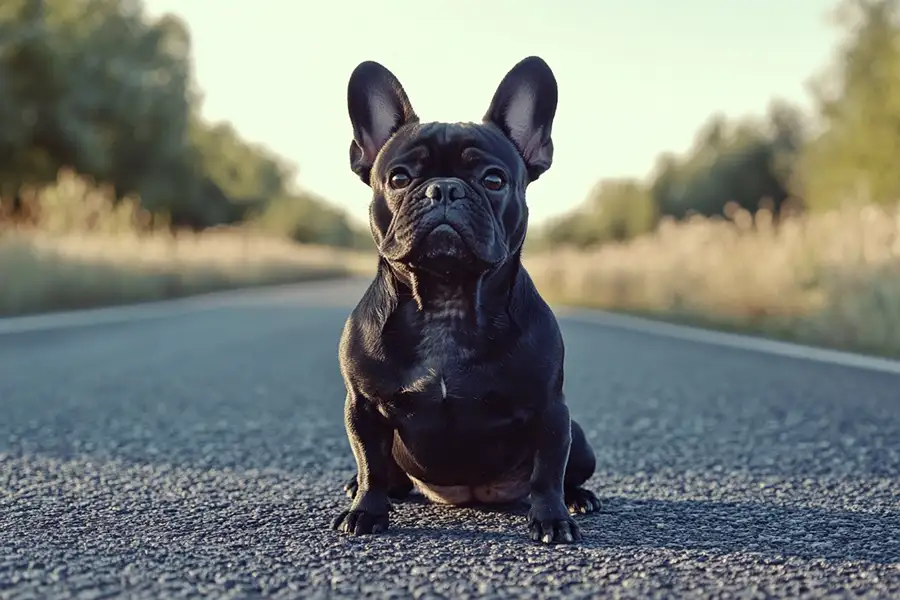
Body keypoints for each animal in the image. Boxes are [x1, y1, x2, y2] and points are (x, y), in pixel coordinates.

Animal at [330, 56, 596, 544]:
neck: (446, 298)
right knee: (384, 474)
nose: (444, 188)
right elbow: (371, 463)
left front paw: (552, 519)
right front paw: (366, 511)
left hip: (580, 438)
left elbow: (548, 471)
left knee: (566, 470)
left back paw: (578, 499)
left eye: (493, 179)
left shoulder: (551, 410)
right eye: (399, 177)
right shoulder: (362, 407)